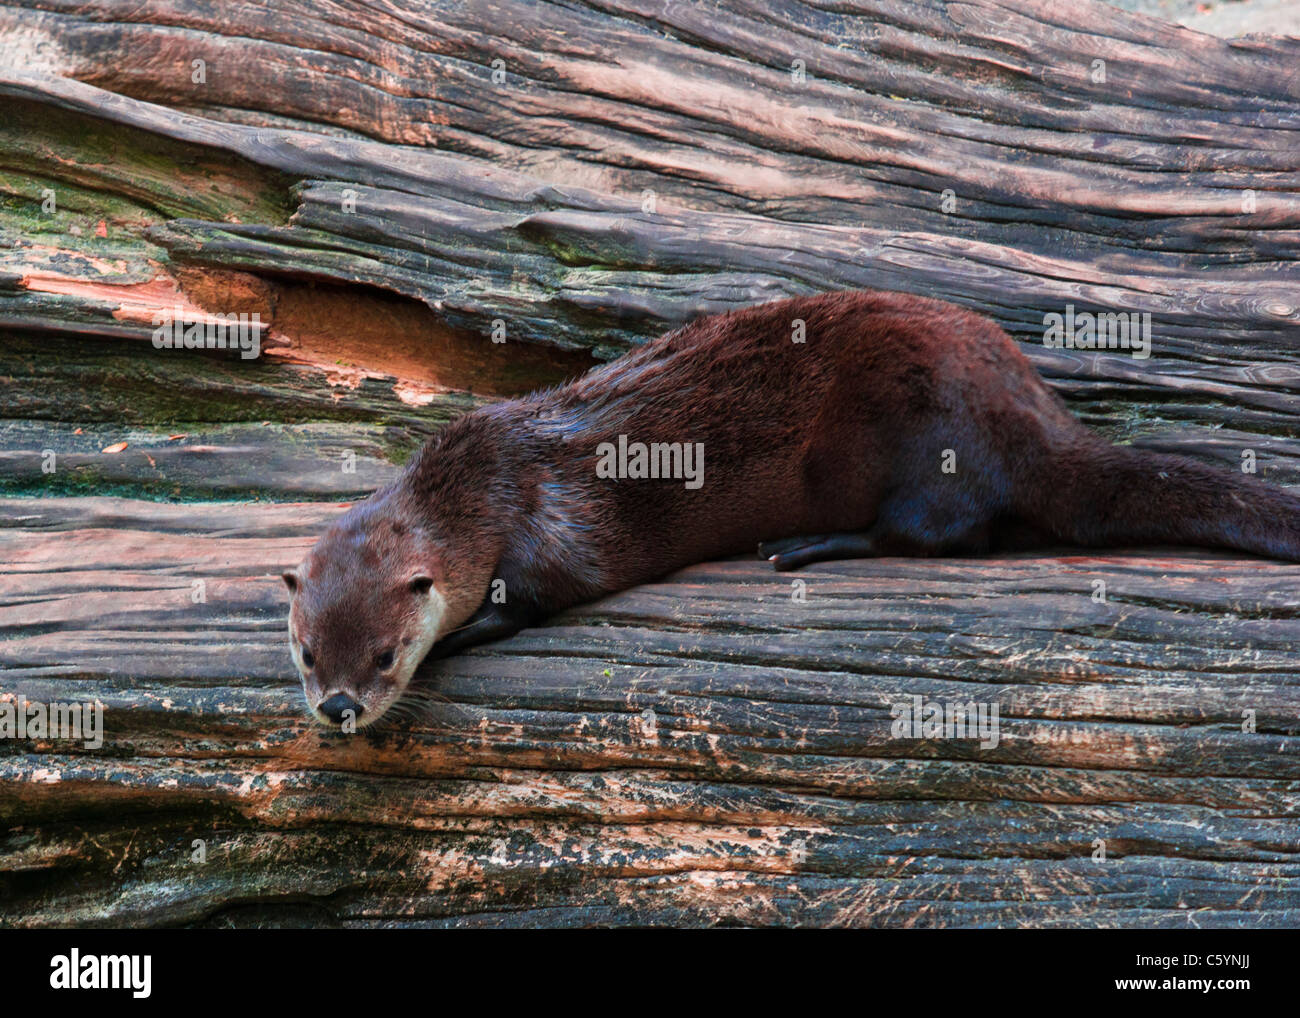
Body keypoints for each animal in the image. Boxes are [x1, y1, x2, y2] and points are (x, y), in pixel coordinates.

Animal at [283, 289, 1300, 728]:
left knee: (943, 532)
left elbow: (547, 590)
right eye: (305, 654)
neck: (483, 479)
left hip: (924, 432)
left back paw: (808, 545)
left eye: (386, 655)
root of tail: (1036, 414)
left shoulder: (550, 520)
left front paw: (465, 632)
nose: (336, 708)